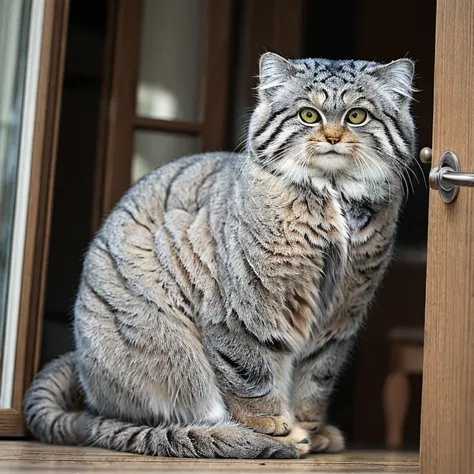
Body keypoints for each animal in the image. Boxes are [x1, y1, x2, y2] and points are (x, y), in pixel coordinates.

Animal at [23, 51, 414, 460]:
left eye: (357, 116)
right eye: (309, 115)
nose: (333, 137)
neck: (333, 197)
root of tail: (92, 411)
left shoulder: (340, 315)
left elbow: (316, 378)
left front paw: (310, 427)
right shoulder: (241, 309)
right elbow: (250, 375)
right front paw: (275, 430)